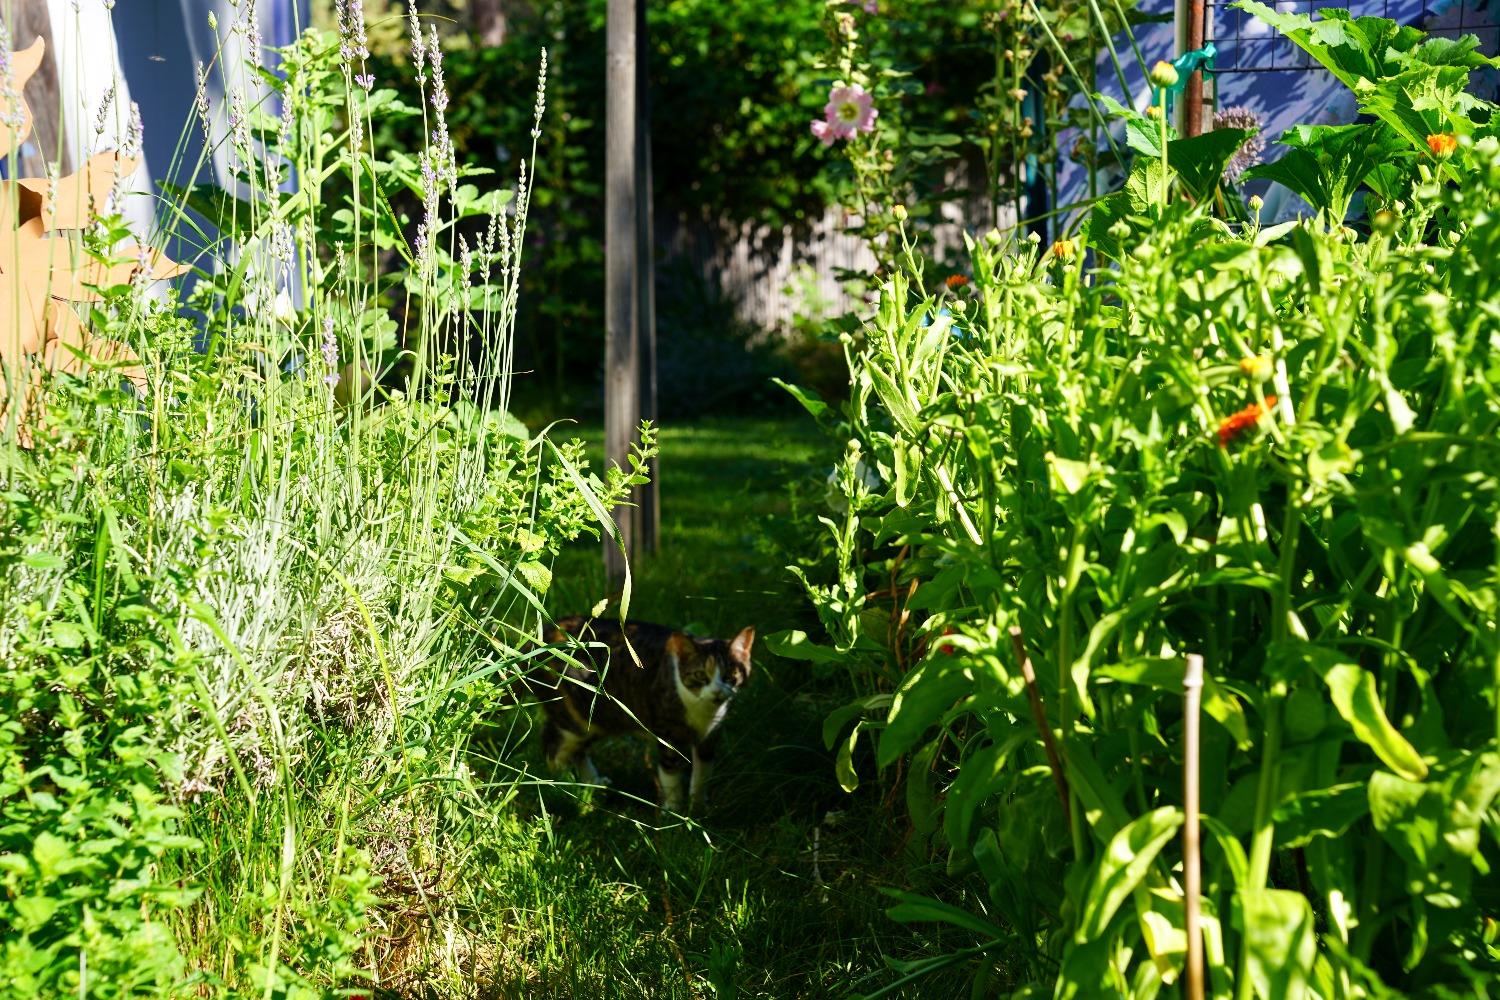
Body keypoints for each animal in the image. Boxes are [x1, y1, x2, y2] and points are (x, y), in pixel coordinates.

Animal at [534, 617, 756, 815]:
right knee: (552, 744)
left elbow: (703, 774)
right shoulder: (667, 733)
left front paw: (698, 807)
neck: (703, 712)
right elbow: (670, 773)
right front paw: (673, 811)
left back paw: (593, 783)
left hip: (598, 720)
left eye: (730, 675)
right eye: (700, 675)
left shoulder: (709, 737)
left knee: (576, 750)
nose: (717, 691)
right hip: (576, 719)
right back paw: (563, 783)